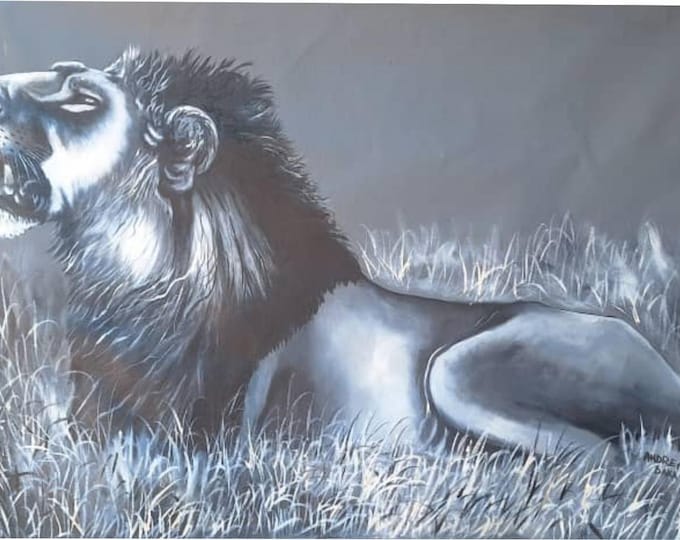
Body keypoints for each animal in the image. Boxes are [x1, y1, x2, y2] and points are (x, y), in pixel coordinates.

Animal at [0, 47, 679, 454]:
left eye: (81, 99)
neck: (128, 275)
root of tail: (656, 352)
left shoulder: (198, 444)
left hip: (459, 373)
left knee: (612, 461)